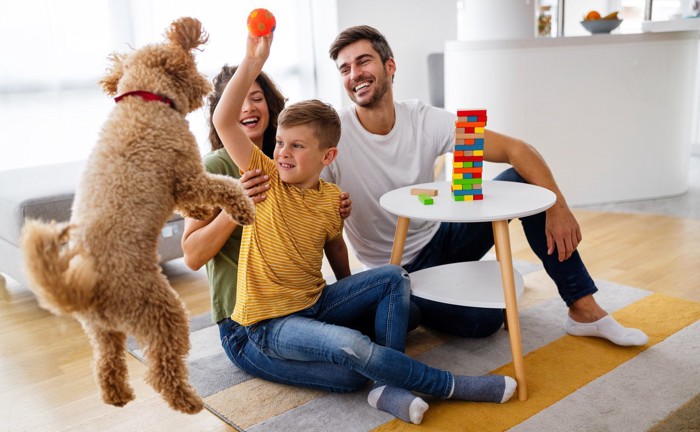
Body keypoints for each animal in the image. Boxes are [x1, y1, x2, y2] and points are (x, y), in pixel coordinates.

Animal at [20, 17, 256, 416]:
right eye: (192, 65)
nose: (207, 87)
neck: (144, 98)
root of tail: (86, 290)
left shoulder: (179, 185)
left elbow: (190, 204)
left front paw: (202, 212)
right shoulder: (188, 173)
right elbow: (222, 187)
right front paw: (241, 207)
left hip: (102, 331)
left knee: (106, 363)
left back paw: (117, 395)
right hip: (162, 310)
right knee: (161, 369)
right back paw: (187, 401)